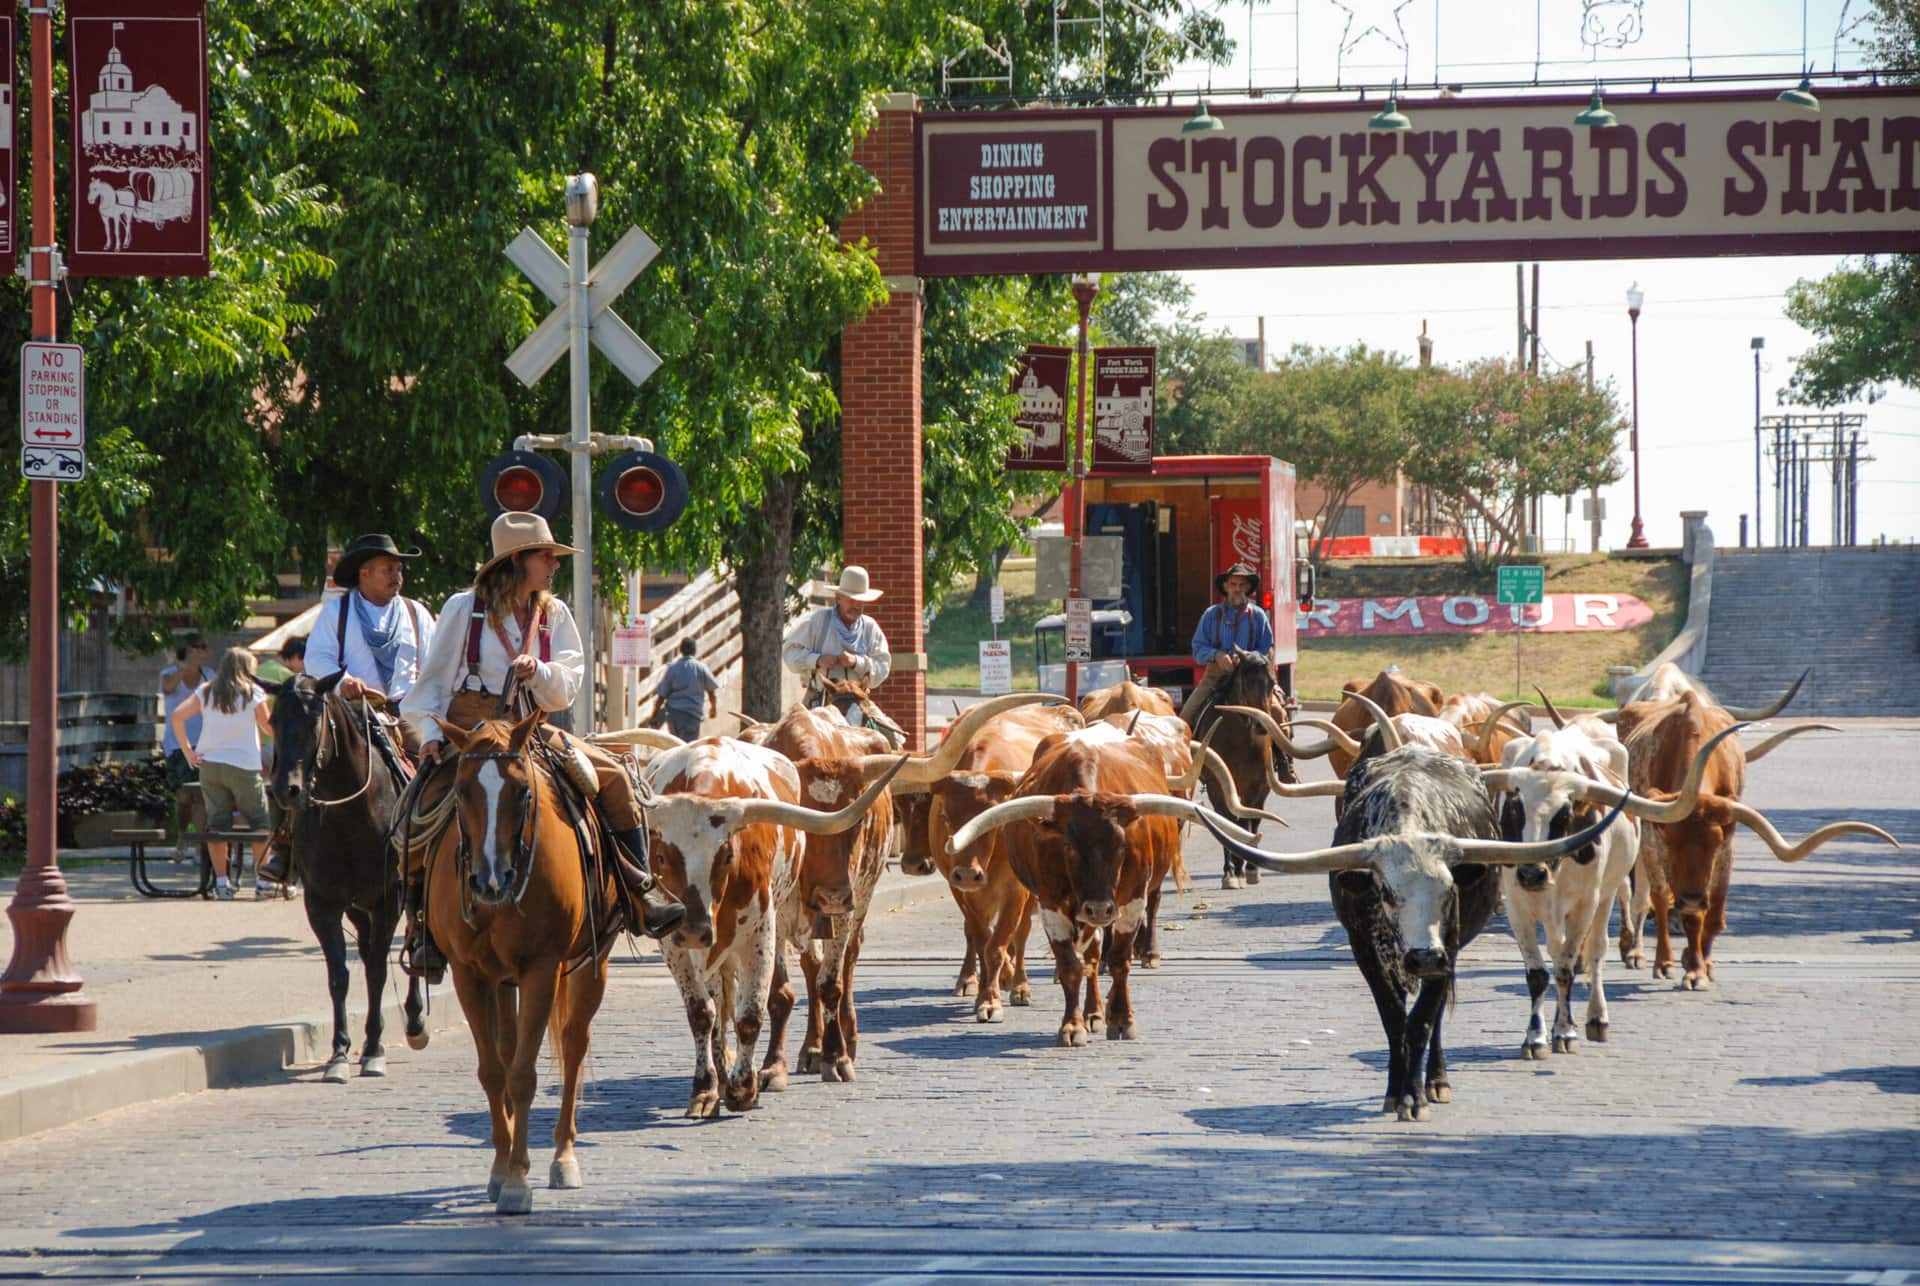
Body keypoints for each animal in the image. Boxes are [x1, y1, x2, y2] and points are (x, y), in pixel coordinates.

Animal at [428, 710, 622, 1220]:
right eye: (461, 790)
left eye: (522, 791)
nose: (490, 881)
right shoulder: (469, 974)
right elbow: (494, 1071)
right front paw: (501, 1170)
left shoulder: (542, 969)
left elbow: (523, 1074)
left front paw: (517, 1181)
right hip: (503, 981)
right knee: (511, 1046)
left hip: (590, 964)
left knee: (573, 1046)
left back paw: (562, 1157)